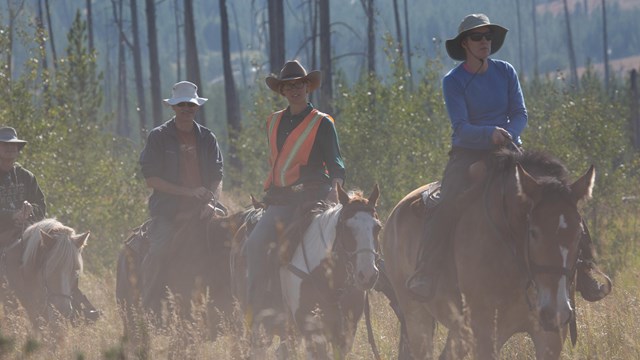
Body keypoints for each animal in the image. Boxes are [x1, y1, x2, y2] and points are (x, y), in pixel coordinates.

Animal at [382, 148, 596, 358]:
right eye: (533, 232)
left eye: (579, 233)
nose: (555, 312)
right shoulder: (486, 333)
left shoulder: (551, 337)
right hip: (417, 318)